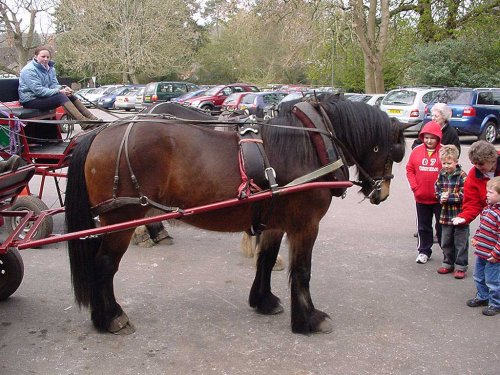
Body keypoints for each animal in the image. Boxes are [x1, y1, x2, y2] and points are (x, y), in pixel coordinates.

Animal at [64, 95, 406, 336]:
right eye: (393, 153)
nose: (383, 193)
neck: (310, 144)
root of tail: (100, 133)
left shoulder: (275, 221)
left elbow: (266, 259)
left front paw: (264, 300)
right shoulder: (305, 224)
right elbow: (303, 271)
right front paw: (309, 319)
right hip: (123, 218)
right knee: (104, 265)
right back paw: (111, 317)